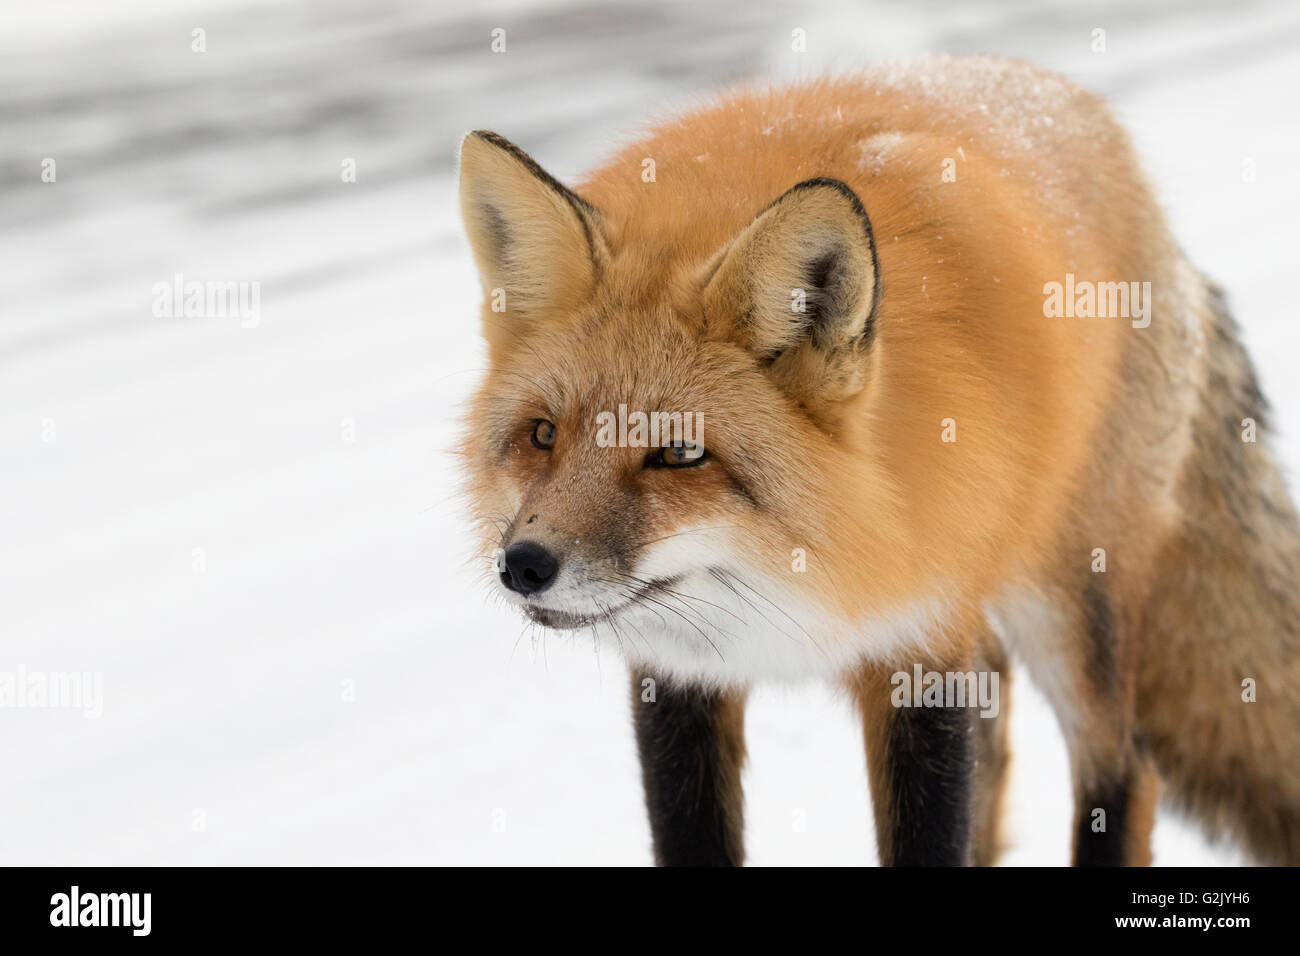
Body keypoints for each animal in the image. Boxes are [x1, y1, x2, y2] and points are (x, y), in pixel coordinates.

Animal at [457, 55, 1300, 866]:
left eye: (680, 452)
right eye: (543, 435)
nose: (525, 564)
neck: (806, 563)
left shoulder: (919, 645)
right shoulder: (680, 675)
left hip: (1070, 597)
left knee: (1123, 766)